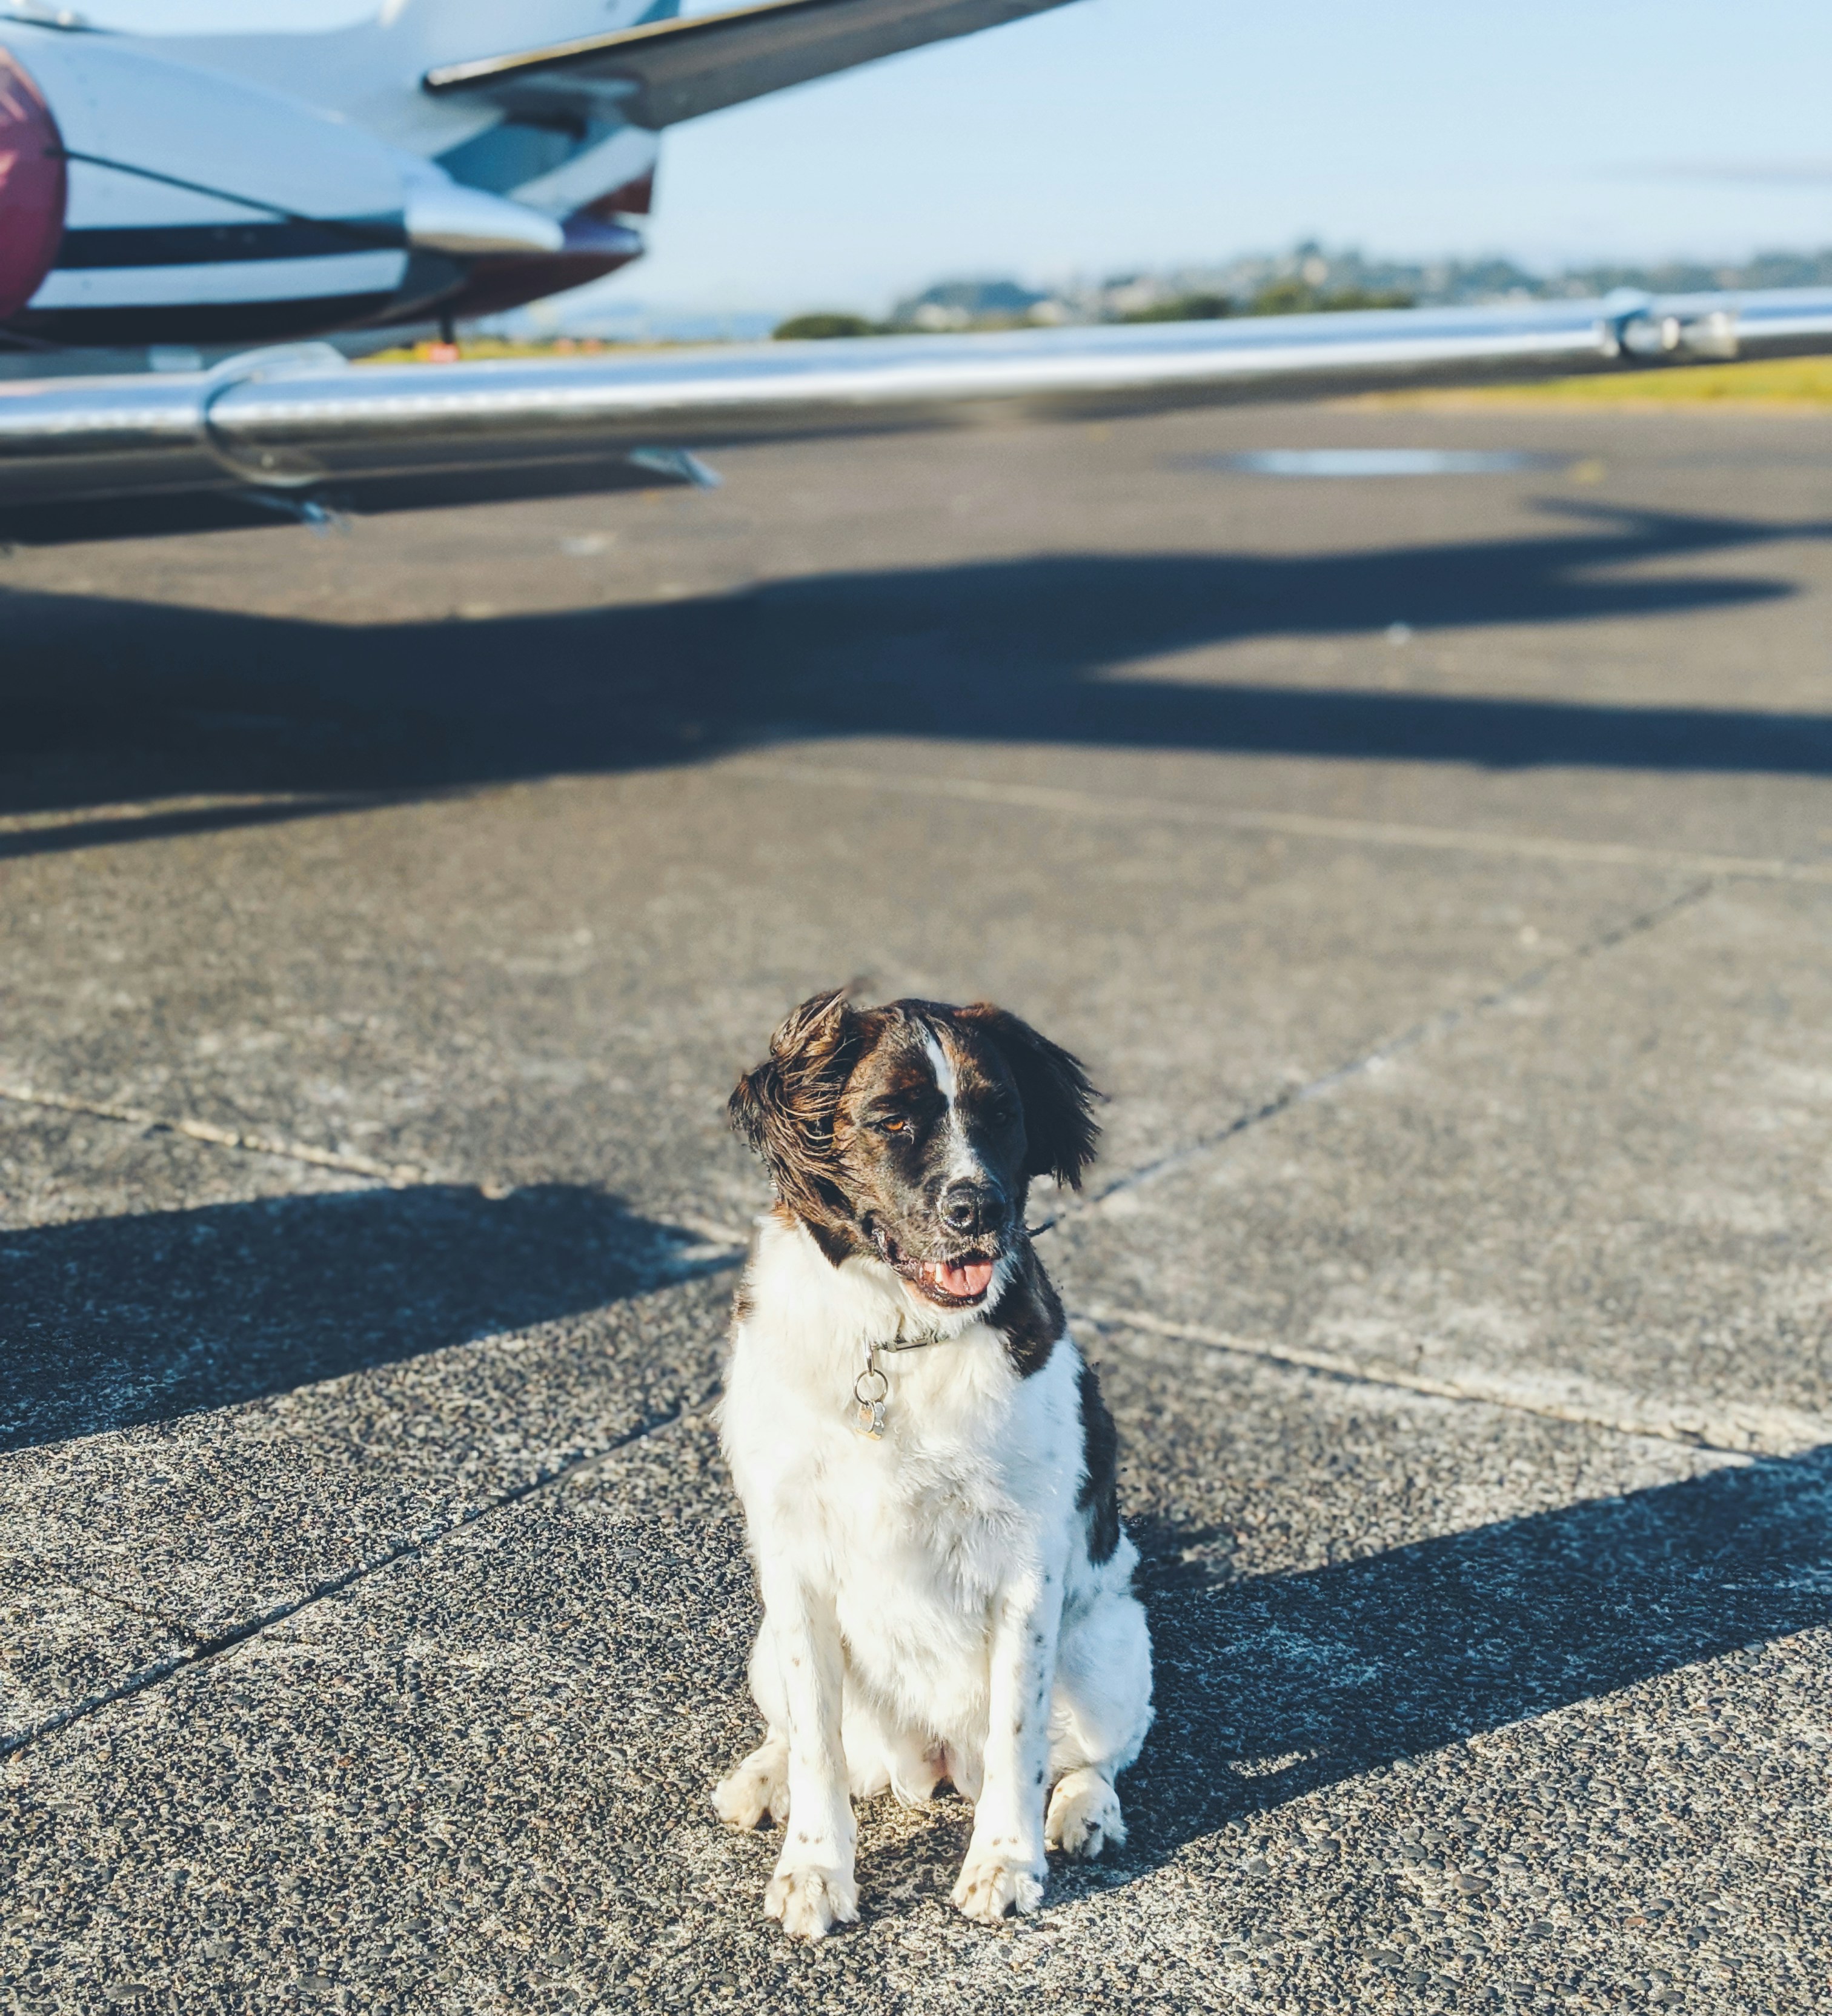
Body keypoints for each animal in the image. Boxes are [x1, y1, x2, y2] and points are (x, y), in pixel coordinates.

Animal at [709, 991, 1152, 1935]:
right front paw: (814, 1866)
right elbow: (816, 1740)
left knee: (1096, 1755)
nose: (977, 1207)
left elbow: (1021, 1732)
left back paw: (1085, 1811)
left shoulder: (1026, 1566)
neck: (898, 1339)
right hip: (765, 1645)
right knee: (799, 1733)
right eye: (892, 1120)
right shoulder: (793, 1562)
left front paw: (1006, 1859)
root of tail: (934, 1761)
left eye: (1001, 1114)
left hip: (1108, 1652)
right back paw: (762, 1775)